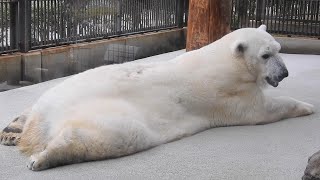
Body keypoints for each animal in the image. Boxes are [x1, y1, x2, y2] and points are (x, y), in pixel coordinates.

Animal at [0, 25, 316, 170]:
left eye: (279, 48)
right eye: (266, 55)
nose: (284, 73)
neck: (225, 62)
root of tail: (43, 119)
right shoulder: (226, 94)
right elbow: (262, 109)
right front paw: (307, 106)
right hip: (107, 112)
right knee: (113, 135)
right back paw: (42, 158)